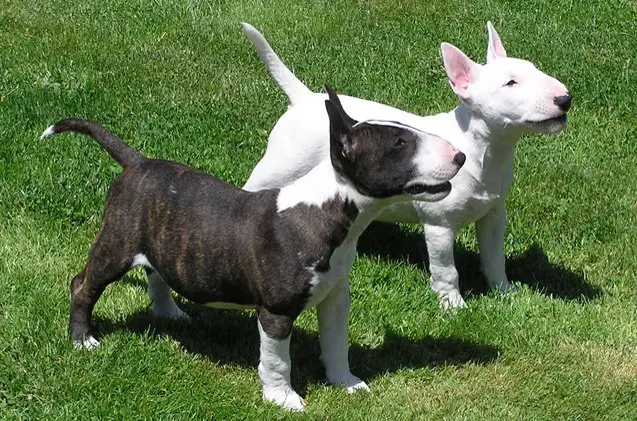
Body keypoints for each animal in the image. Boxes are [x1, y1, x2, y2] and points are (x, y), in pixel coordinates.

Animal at [241, 21, 568, 306]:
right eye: (510, 83)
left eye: (535, 69)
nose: (565, 98)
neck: (482, 149)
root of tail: (305, 99)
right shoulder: (438, 225)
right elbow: (447, 270)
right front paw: (453, 306)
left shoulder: (493, 214)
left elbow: (494, 258)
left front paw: (505, 293)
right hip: (276, 168)